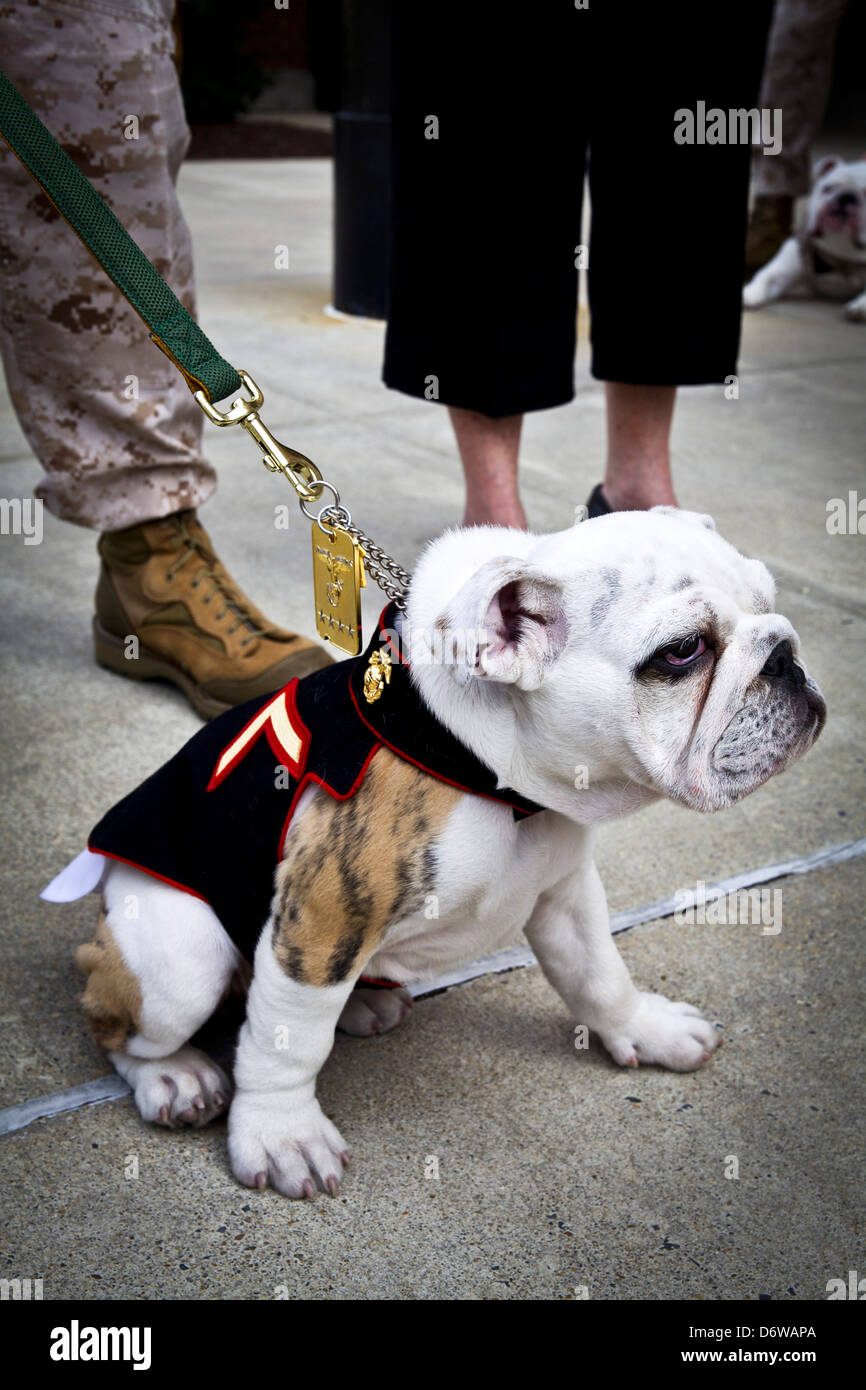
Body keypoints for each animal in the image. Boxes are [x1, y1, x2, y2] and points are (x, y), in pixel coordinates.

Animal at [52, 511, 828, 1195]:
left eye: (770, 603)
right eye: (682, 652)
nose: (787, 656)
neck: (496, 778)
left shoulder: (566, 893)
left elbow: (599, 976)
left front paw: (646, 1028)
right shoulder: (324, 915)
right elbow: (286, 1044)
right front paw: (281, 1133)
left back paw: (363, 1003)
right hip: (181, 958)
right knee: (120, 1019)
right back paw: (174, 1075)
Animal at [745, 154, 866, 319]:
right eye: (828, 188)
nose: (846, 197)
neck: (842, 256)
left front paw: (860, 307)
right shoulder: (794, 254)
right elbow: (767, 276)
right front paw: (749, 293)